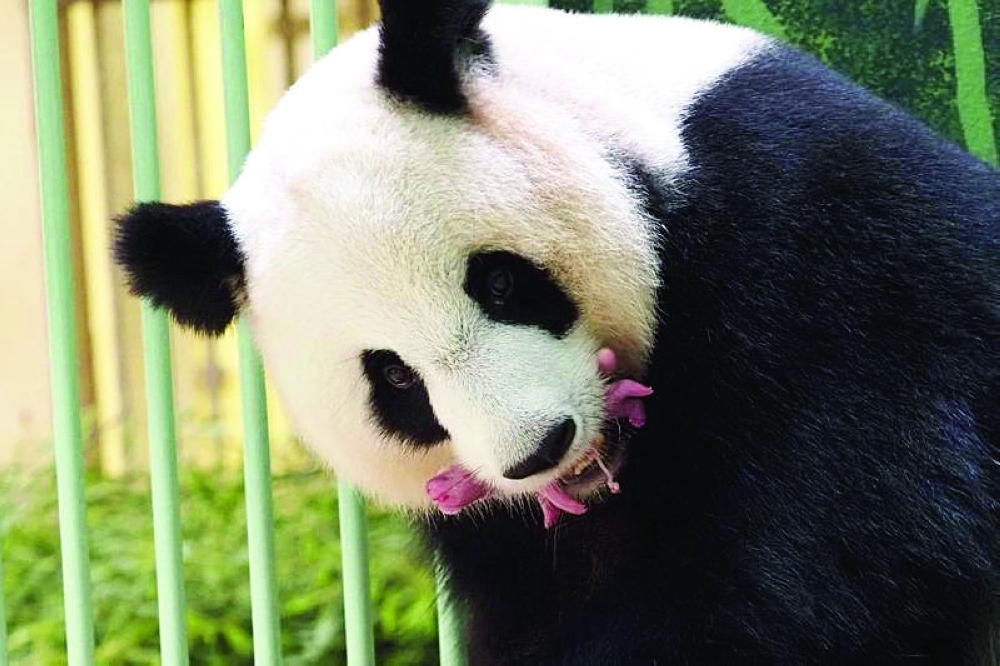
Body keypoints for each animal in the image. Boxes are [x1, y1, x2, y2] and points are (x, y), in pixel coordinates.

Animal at [114, 0, 1000, 663]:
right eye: (394, 379)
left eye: (501, 283)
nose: (538, 448)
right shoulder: (505, 541)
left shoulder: (826, 266)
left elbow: (817, 568)